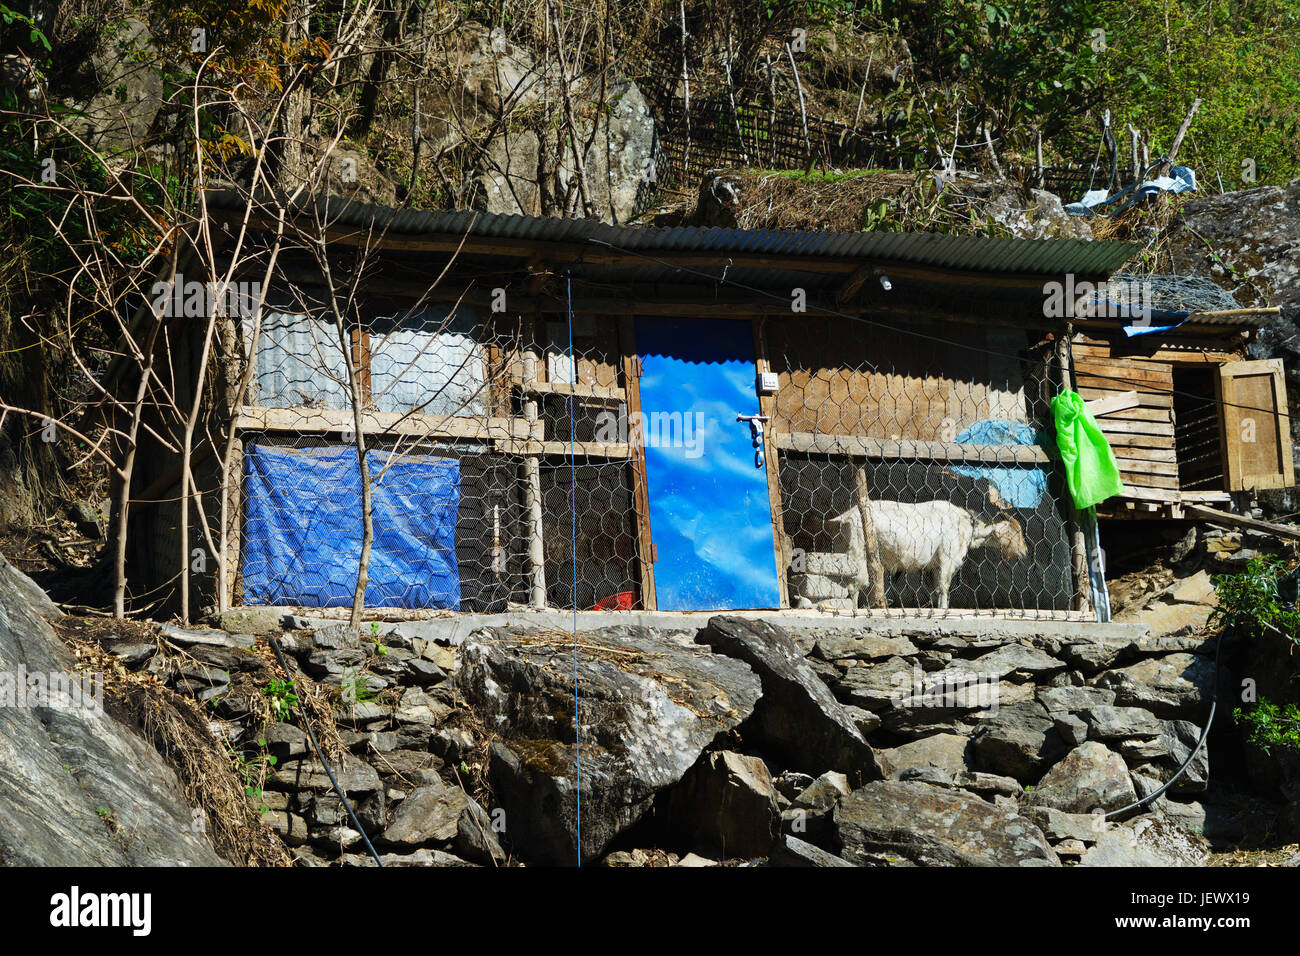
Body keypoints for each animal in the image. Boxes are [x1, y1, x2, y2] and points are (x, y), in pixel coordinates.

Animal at [826, 496, 1029, 608]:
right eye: (1017, 532)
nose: (1025, 552)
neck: (966, 526)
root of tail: (845, 517)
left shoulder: (937, 565)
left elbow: (937, 589)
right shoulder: (947, 559)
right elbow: (944, 588)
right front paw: (944, 610)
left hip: (843, 549)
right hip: (858, 551)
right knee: (854, 585)